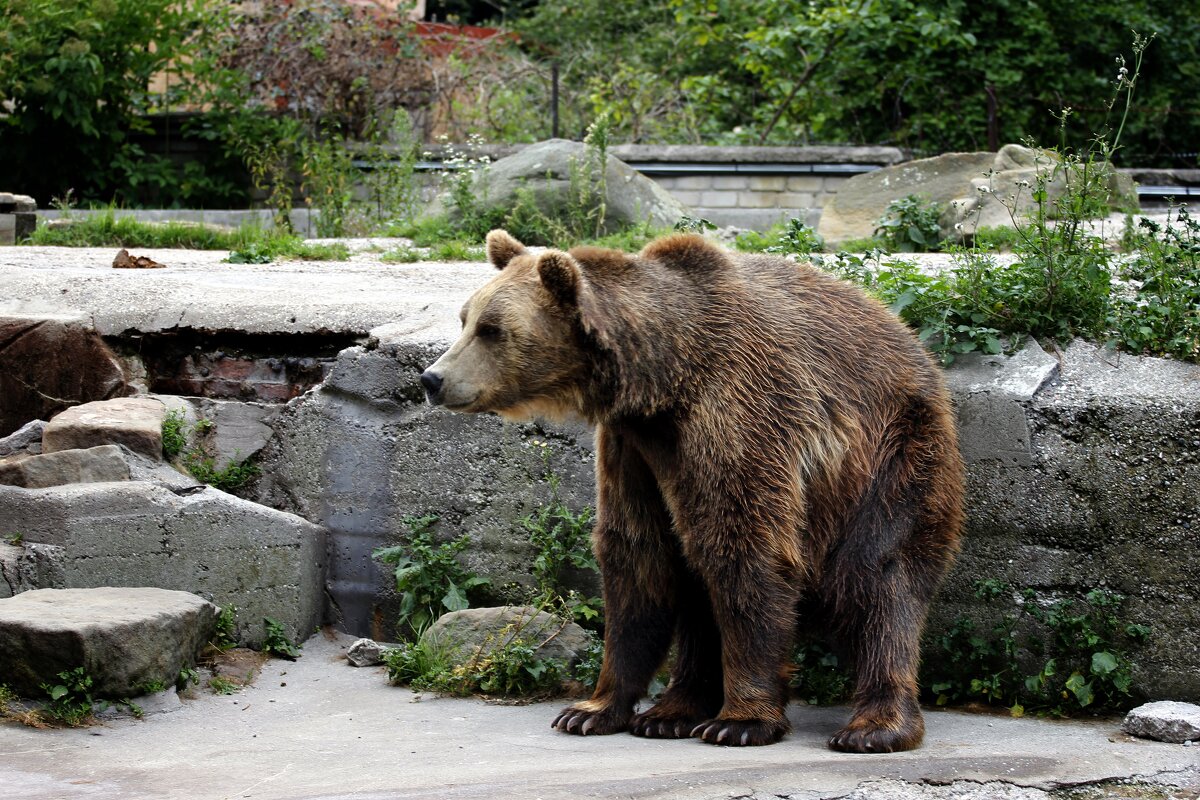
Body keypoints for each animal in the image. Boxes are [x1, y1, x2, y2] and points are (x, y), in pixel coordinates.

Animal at [422, 230, 964, 753]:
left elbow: (748, 548)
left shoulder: (741, 409)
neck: (667, 378)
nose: (433, 378)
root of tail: (915, 344)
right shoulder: (634, 447)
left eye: (493, 329)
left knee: (876, 577)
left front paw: (742, 721)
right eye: (465, 318)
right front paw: (590, 709)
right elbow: (637, 553)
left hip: (896, 456)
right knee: (696, 581)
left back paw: (873, 726)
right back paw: (672, 711)